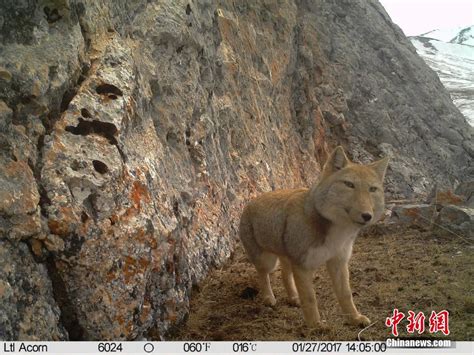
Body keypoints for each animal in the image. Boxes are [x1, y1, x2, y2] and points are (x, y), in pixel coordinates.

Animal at [239, 146, 386, 330]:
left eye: (372, 189)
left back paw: (294, 298)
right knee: (263, 275)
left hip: (287, 259)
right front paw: (315, 326)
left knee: (284, 275)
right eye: (349, 185)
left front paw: (354, 318)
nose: (367, 216)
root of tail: (250, 202)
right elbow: (310, 298)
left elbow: (346, 294)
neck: (337, 232)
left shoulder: (338, 262)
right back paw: (268, 298)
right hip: (268, 262)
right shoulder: (302, 266)